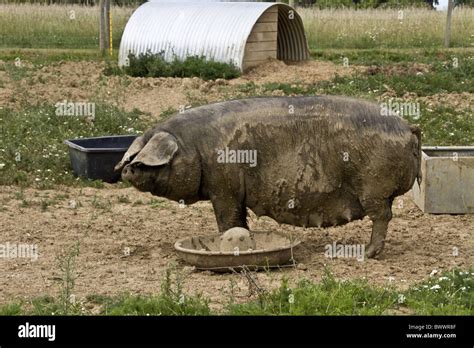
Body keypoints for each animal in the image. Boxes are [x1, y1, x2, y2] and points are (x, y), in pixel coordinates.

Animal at [115, 96, 422, 258]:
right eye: (133, 156)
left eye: (144, 160)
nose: (127, 169)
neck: (196, 147)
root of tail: (408, 125)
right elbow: (238, 221)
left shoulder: (223, 187)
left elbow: (227, 218)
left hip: (373, 187)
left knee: (382, 216)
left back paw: (365, 253)